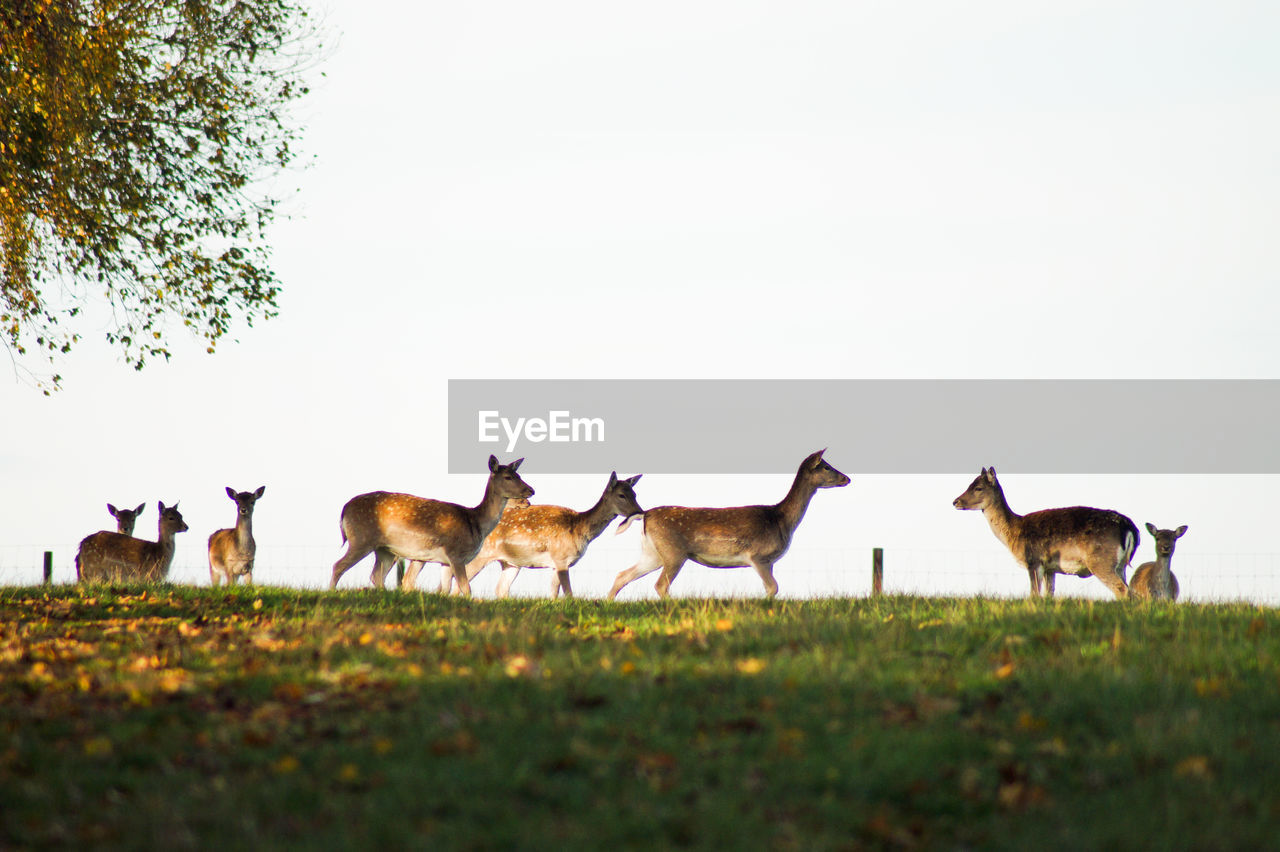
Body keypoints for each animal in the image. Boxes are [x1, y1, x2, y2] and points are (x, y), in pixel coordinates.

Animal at [330, 450, 535, 591]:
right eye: (508, 477)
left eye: (519, 475)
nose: (531, 491)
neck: (476, 523)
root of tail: (345, 509)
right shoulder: (455, 553)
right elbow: (465, 588)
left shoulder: (445, 561)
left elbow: (445, 589)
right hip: (361, 538)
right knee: (338, 566)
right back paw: (331, 593)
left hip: (385, 549)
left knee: (376, 575)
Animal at [424, 468, 645, 593]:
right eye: (622, 495)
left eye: (635, 493)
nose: (639, 512)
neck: (579, 529)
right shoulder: (560, 558)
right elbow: (568, 593)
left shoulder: (559, 564)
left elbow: (555, 593)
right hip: (479, 556)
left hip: (511, 563)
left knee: (500, 589)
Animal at [604, 447, 844, 601]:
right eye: (826, 466)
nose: (847, 478)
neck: (781, 520)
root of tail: (645, 515)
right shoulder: (757, 555)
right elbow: (772, 587)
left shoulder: (769, 561)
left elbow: (772, 587)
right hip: (673, 552)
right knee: (660, 584)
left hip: (653, 553)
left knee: (622, 575)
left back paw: (609, 602)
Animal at [952, 465, 1141, 596]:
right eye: (970, 484)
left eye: (978, 488)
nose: (955, 501)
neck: (1012, 533)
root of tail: (1130, 528)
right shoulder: (1050, 568)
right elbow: (1048, 595)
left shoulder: (1033, 561)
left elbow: (1034, 595)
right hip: (1120, 565)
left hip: (1100, 560)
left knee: (1122, 590)